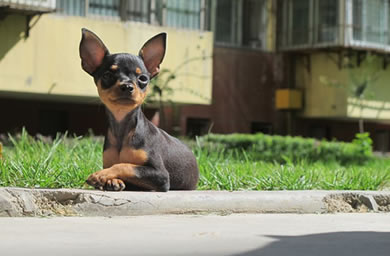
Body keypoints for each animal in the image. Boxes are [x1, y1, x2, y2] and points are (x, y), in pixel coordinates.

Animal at [80, 29, 200, 191]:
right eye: (107, 75)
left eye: (143, 78)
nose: (127, 86)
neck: (123, 129)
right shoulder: (109, 162)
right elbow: (119, 166)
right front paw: (113, 180)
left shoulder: (161, 175)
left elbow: (125, 166)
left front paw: (101, 175)